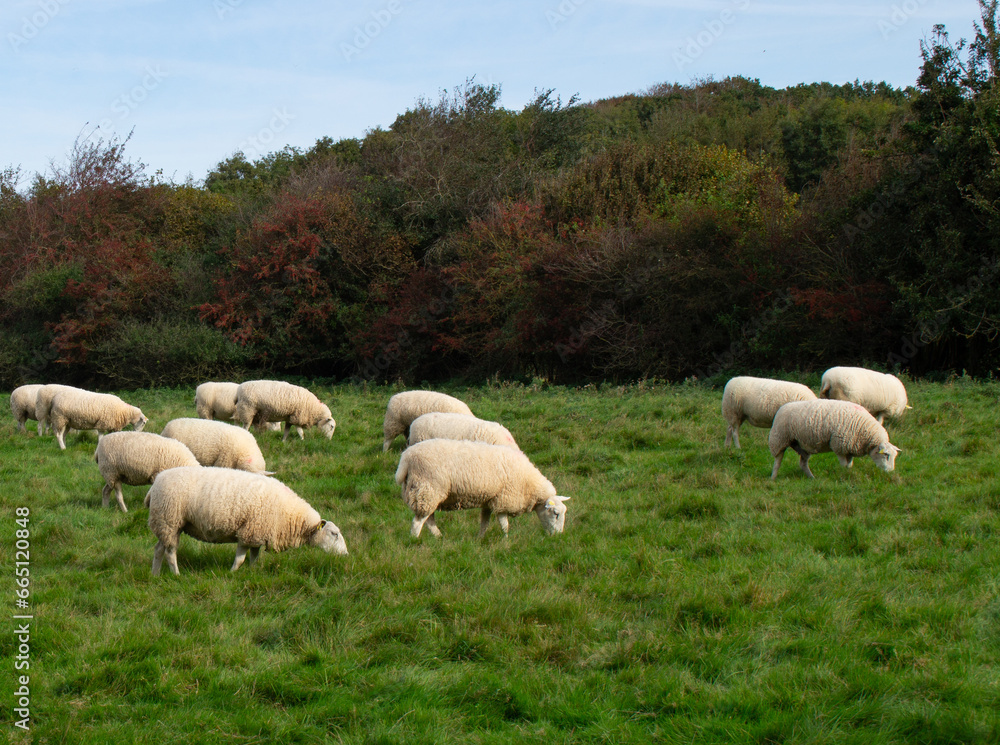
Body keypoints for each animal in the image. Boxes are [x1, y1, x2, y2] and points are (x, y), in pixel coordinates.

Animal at [145, 466, 348, 575]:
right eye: (334, 534)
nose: (345, 555)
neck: (290, 515)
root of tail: (155, 484)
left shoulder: (257, 534)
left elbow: (254, 557)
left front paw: (252, 572)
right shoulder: (248, 531)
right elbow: (240, 558)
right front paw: (232, 573)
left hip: (166, 523)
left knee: (159, 549)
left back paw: (155, 574)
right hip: (170, 520)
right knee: (170, 552)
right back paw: (176, 574)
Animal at [395, 438, 570, 538]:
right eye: (555, 513)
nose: (558, 536)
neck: (529, 485)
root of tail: (406, 458)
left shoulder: (489, 500)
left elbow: (484, 522)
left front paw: (480, 539)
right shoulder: (503, 499)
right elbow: (504, 523)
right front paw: (506, 539)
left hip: (426, 492)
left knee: (429, 519)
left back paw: (439, 537)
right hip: (427, 489)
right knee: (418, 521)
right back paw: (414, 540)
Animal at [768, 399, 901, 480]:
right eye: (886, 455)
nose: (890, 472)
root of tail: (782, 407)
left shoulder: (850, 447)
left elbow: (849, 465)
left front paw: (848, 472)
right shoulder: (839, 445)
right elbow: (843, 464)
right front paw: (843, 475)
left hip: (802, 445)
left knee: (803, 463)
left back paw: (812, 478)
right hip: (779, 439)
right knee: (778, 460)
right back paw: (773, 478)